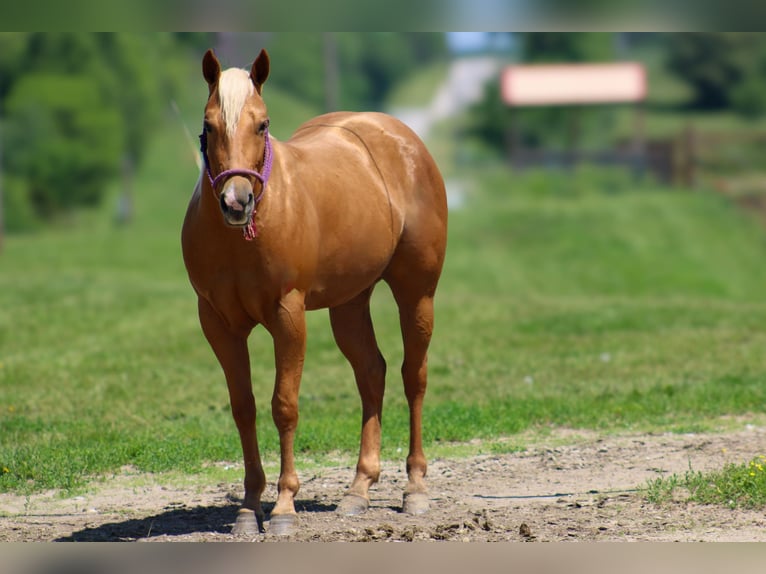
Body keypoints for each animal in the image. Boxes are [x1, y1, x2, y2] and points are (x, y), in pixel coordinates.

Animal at [182, 47, 448, 536]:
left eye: (262, 124)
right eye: (208, 125)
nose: (236, 201)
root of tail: (400, 137)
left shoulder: (288, 316)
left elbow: (284, 406)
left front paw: (284, 507)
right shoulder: (218, 324)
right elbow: (243, 407)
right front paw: (249, 507)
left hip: (417, 294)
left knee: (413, 377)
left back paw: (415, 489)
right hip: (349, 304)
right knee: (372, 373)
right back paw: (359, 489)